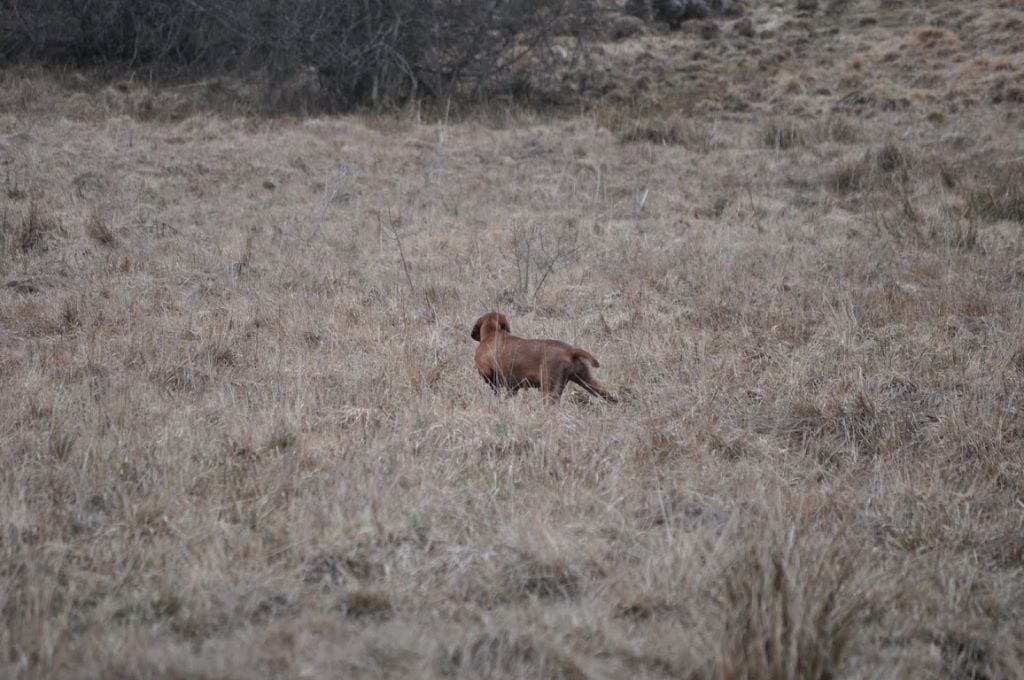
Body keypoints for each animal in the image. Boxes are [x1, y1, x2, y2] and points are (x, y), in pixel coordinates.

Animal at [471, 311, 614, 403]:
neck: (493, 334)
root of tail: (569, 350)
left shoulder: (489, 375)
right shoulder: (513, 386)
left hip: (549, 389)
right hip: (588, 382)